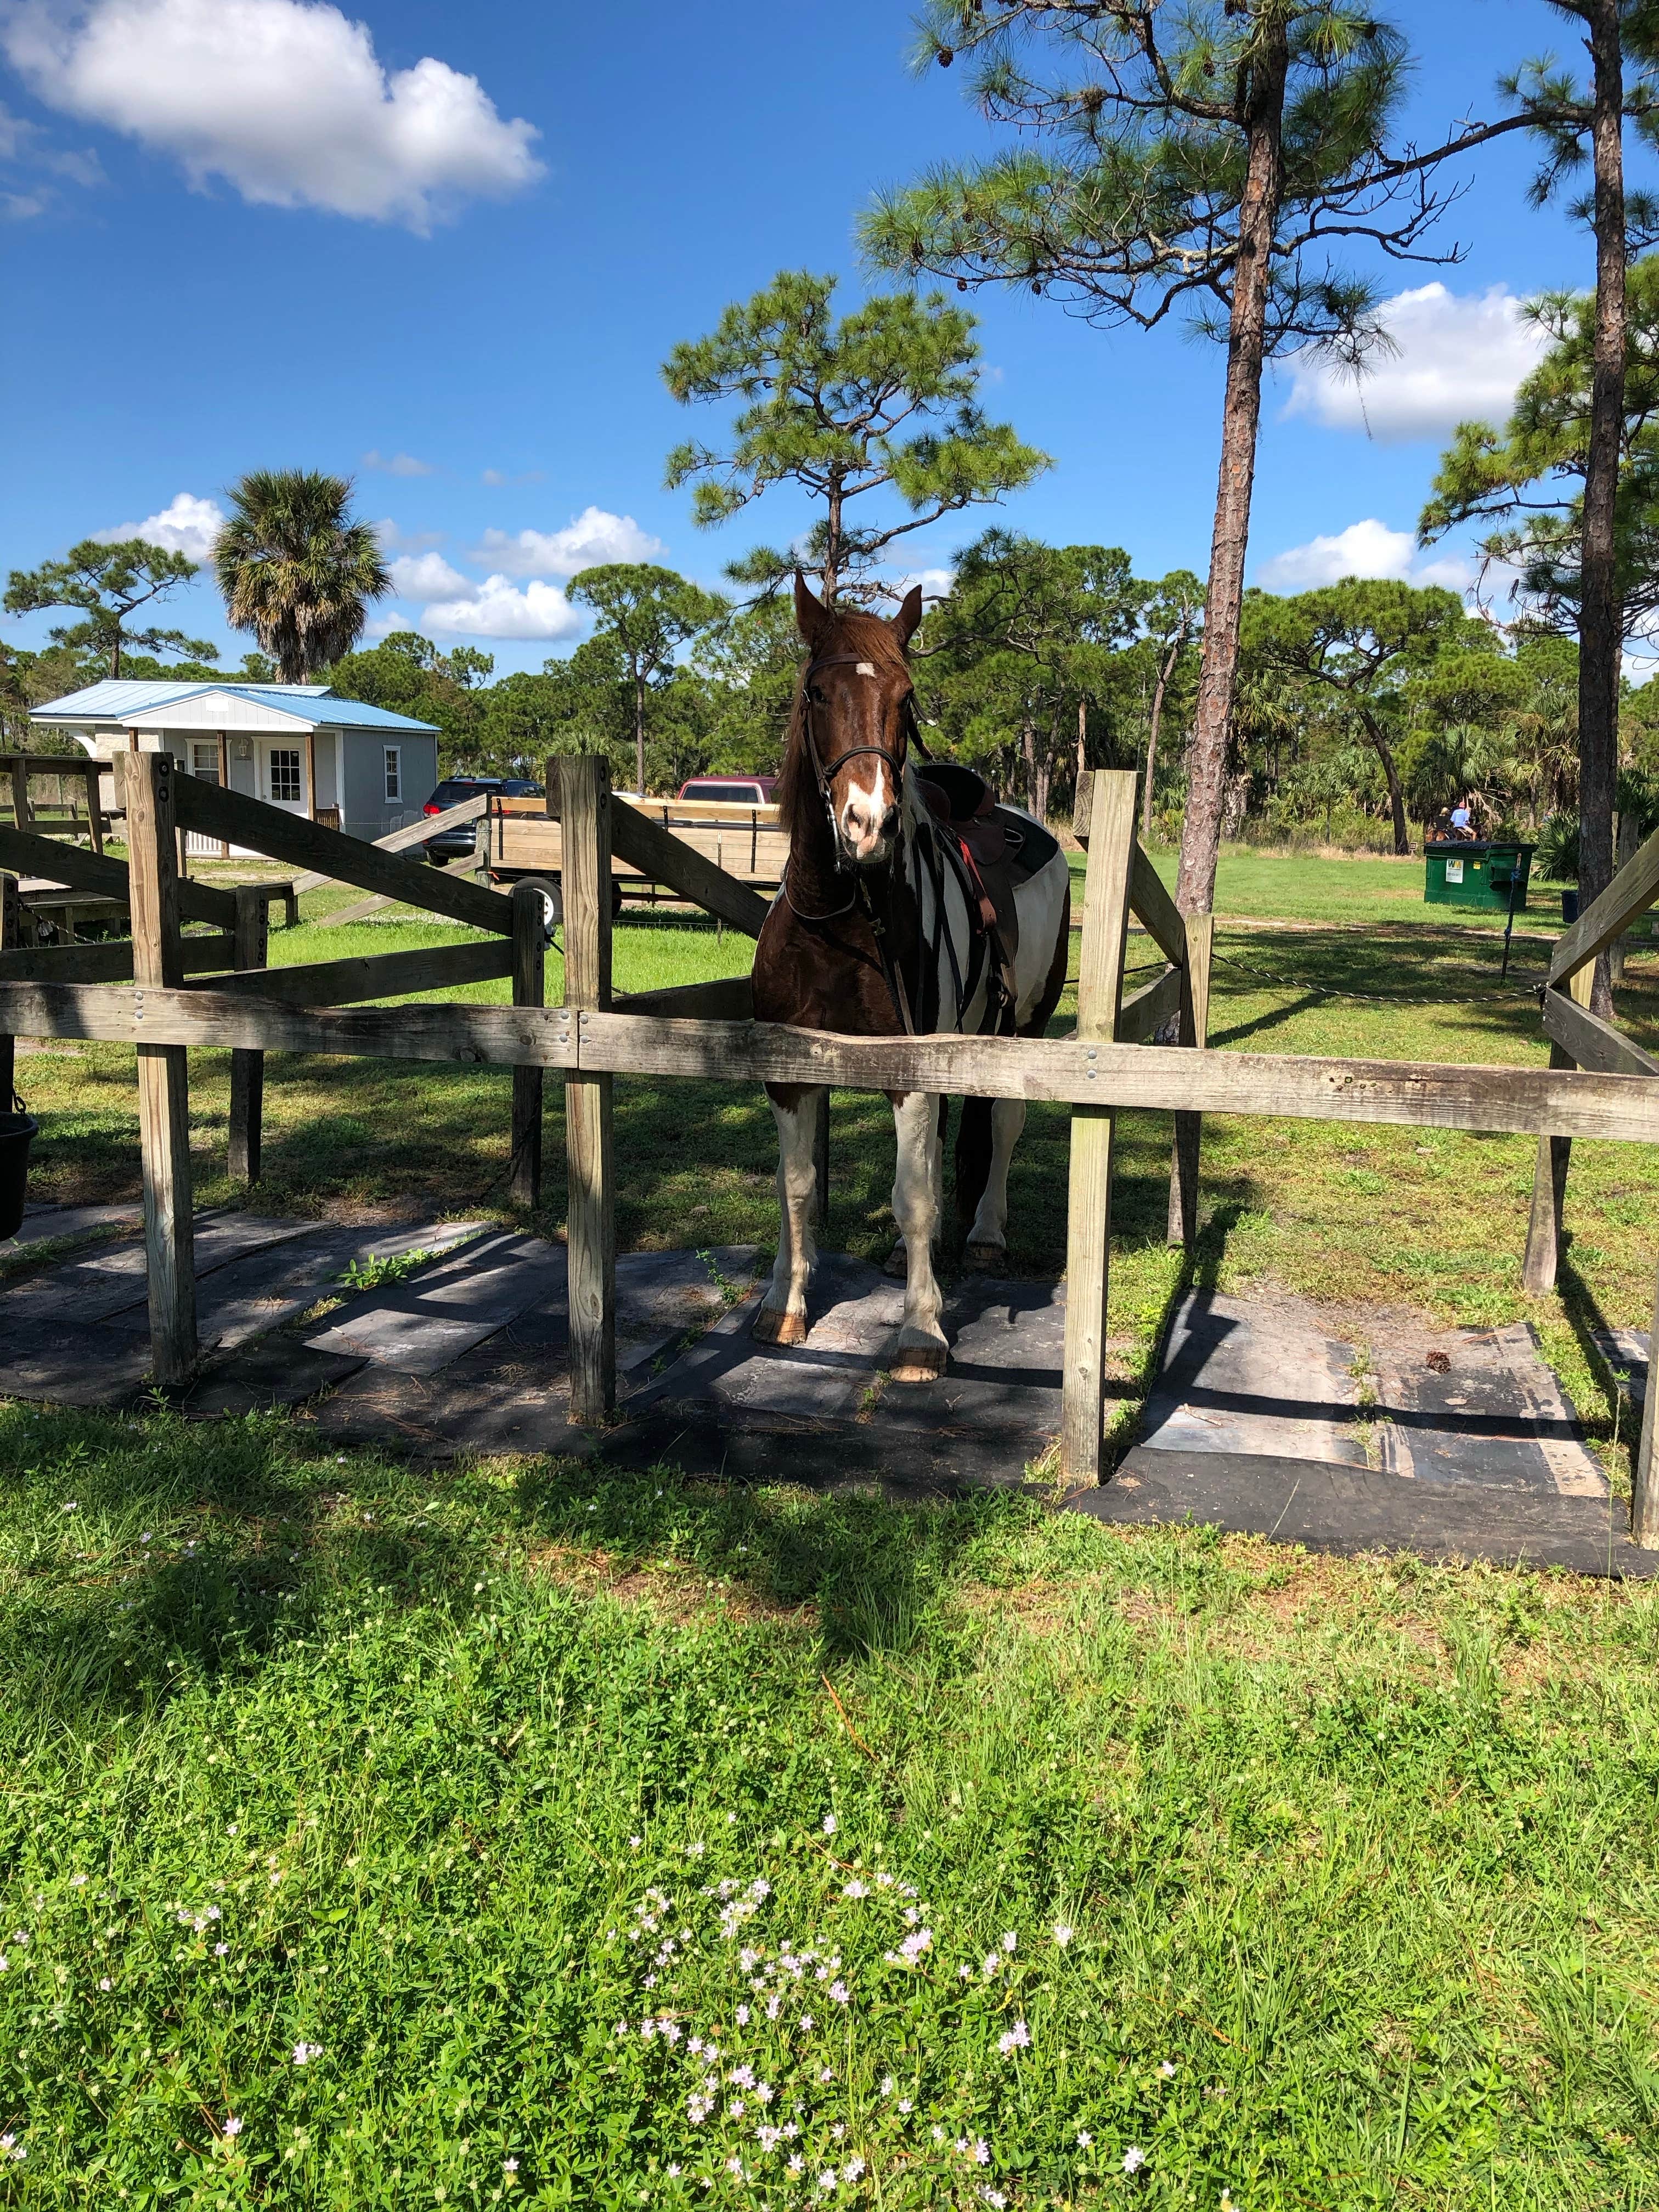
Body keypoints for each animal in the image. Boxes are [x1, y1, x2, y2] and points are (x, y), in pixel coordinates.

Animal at [749, 575, 1072, 1383]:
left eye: (907, 696)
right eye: (816, 692)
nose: (868, 825)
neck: (838, 918)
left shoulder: (911, 1072)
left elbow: (916, 1196)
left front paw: (922, 1331)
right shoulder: (789, 1070)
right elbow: (797, 1187)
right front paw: (784, 1303)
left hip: (1023, 1026)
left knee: (1004, 1127)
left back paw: (985, 1234)